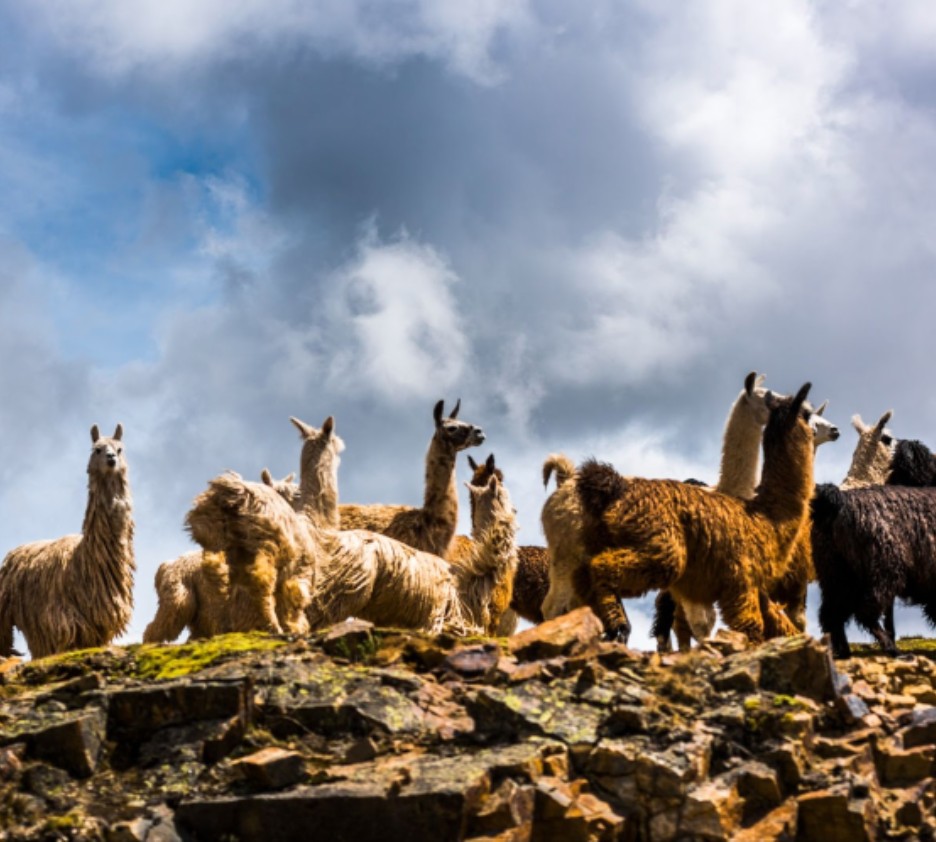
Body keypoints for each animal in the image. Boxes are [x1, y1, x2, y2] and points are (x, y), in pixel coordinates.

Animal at [0, 425, 135, 659]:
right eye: (97, 449)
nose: (111, 459)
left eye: (119, 449)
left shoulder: (100, 630)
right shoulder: (61, 623)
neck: (86, 562)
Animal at [574, 384, 815, 645]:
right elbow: (750, 628)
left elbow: (778, 626)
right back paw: (619, 627)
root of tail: (616, 489)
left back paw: (610, 628)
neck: (767, 516)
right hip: (661, 545)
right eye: (807, 413)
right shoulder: (741, 581)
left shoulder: (754, 589)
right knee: (602, 568)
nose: (821, 429)